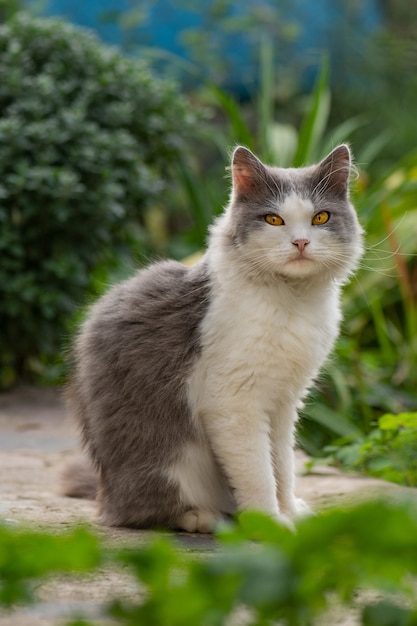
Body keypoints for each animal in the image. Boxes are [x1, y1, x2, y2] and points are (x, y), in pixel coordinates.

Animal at [62, 144, 364, 528]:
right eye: (274, 220)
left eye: (321, 218)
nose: (300, 242)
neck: (292, 302)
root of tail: (105, 495)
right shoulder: (233, 401)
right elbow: (258, 472)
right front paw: (271, 524)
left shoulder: (285, 401)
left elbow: (282, 466)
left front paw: (291, 512)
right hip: (169, 462)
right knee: (144, 512)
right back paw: (204, 517)